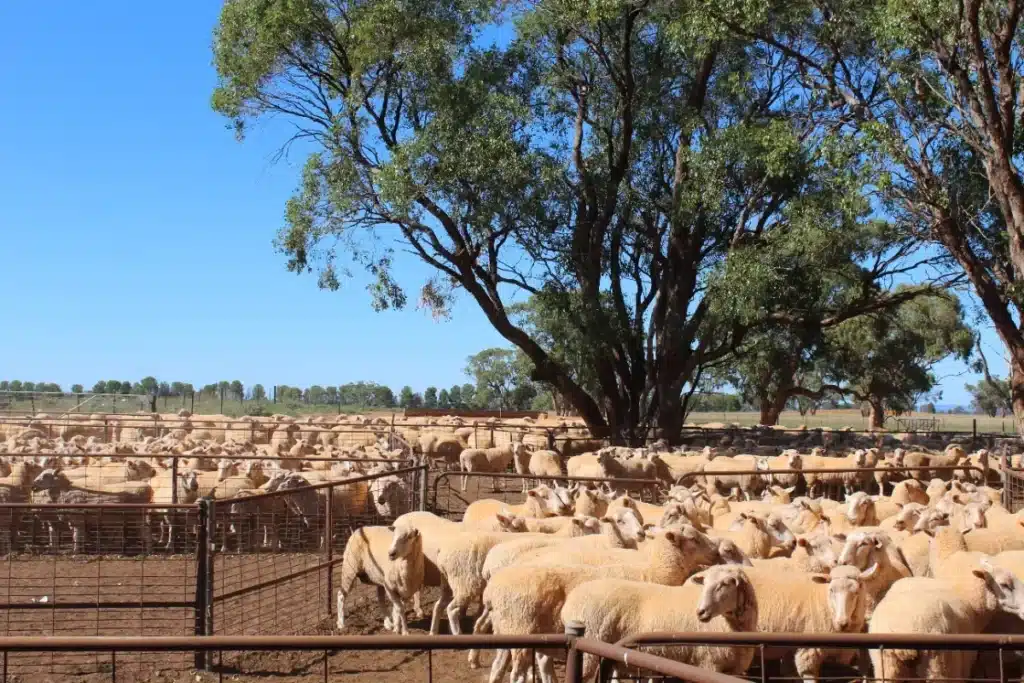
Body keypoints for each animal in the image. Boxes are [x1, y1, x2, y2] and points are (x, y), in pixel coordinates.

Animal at [554, 565, 759, 683]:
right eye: (705, 583)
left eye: (724, 584)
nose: (700, 612)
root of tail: (570, 602)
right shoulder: (707, 663)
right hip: (589, 650)